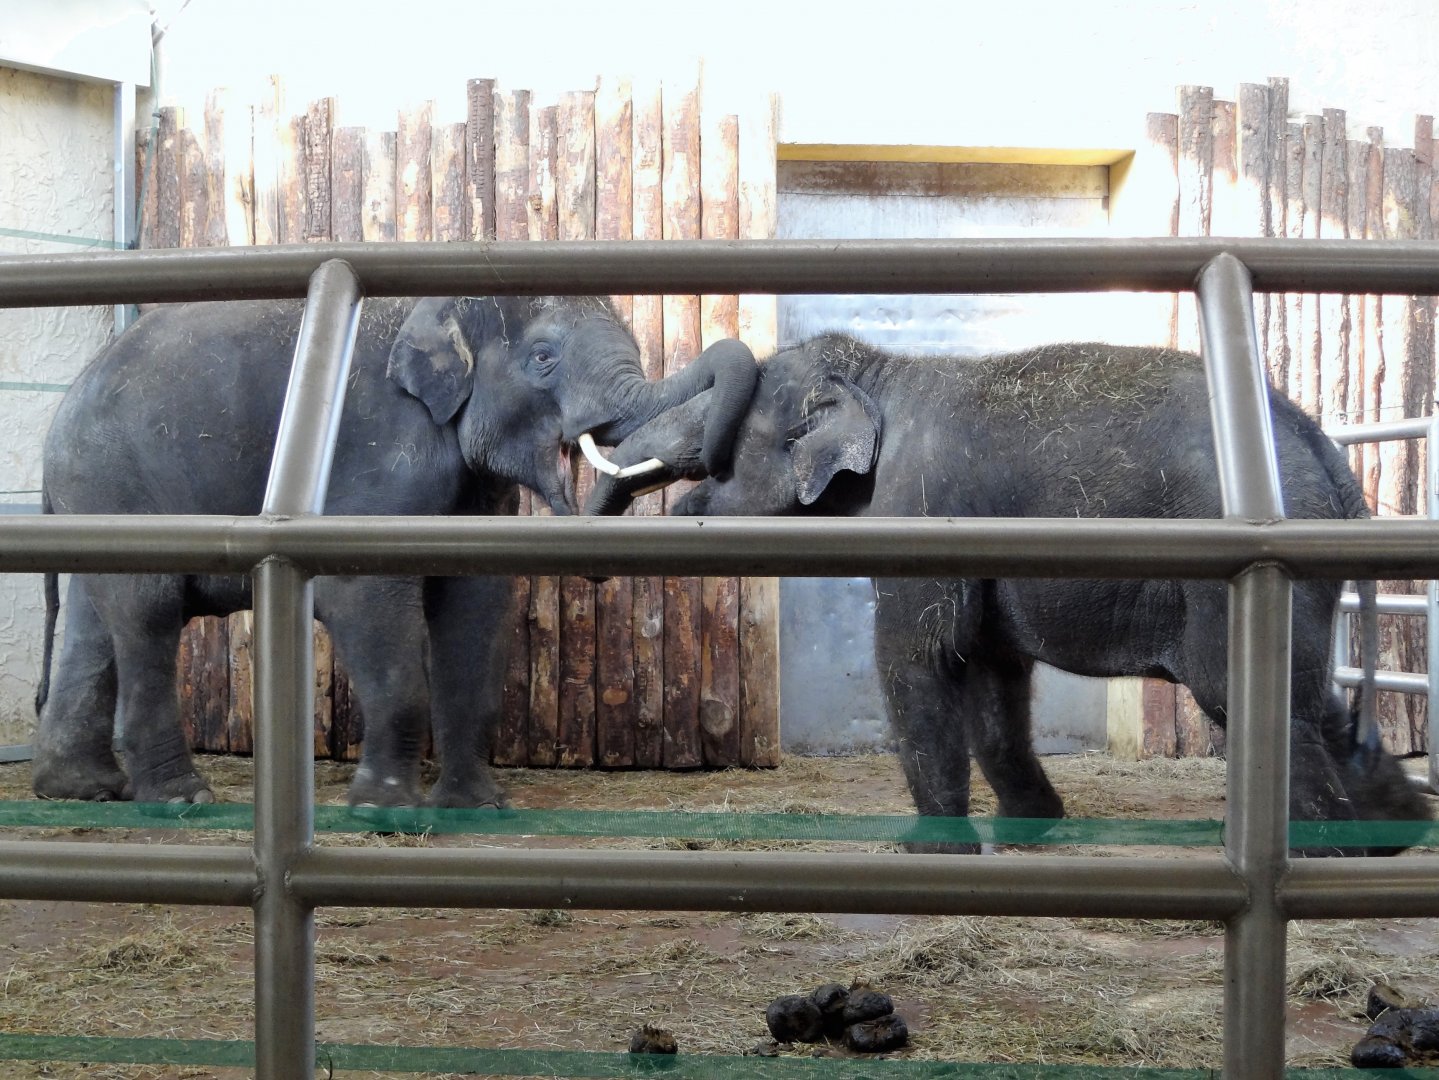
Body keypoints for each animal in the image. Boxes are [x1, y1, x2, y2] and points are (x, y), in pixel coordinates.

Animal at [34, 294, 758, 807]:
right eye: (544, 358)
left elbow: (474, 603)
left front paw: (476, 807)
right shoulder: (382, 444)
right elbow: (363, 592)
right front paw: (383, 809)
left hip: (99, 495)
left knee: (98, 624)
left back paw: (82, 791)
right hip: (118, 480)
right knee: (148, 609)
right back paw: (181, 799)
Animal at [588, 333, 1433, 854]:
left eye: (720, 440)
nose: (596, 568)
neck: (876, 375)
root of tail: (1326, 453)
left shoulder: (922, 510)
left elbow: (917, 657)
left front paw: (928, 852)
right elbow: (993, 673)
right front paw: (1032, 829)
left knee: (1252, 700)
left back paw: (1324, 854)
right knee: (1317, 705)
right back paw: (1395, 838)